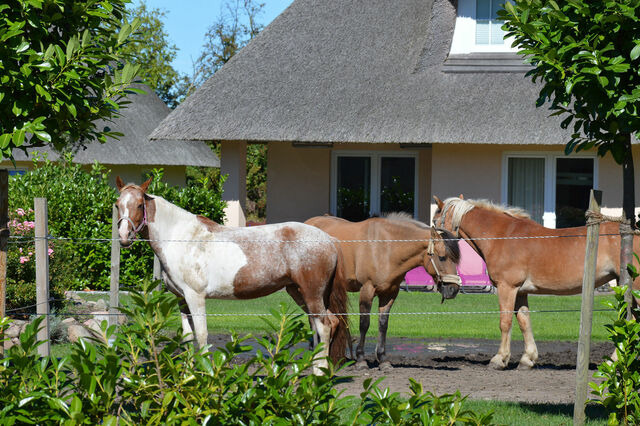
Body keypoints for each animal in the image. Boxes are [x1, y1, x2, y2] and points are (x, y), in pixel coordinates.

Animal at [112, 178, 348, 374]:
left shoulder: (196, 297)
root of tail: (329, 240)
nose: (124, 237)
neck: (181, 238)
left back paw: (319, 376)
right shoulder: (182, 299)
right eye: (117, 204)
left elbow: (202, 335)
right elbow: (187, 337)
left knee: (324, 326)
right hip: (299, 293)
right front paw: (188, 377)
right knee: (325, 325)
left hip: (311, 294)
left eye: (140, 205)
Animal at [304, 215, 460, 368]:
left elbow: (383, 324)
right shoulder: (367, 290)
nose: (453, 289)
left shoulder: (389, 293)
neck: (386, 248)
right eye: (442, 257)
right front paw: (361, 359)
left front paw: (382, 358)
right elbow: (364, 324)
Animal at [432, 196, 640, 370]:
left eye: (434, 222)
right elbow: (524, 322)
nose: (433, 248)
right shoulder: (520, 291)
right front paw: (527, 359)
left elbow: (505, 322)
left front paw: (499, 359)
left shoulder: (507, 287)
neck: (502, 236)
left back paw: (613, 362)